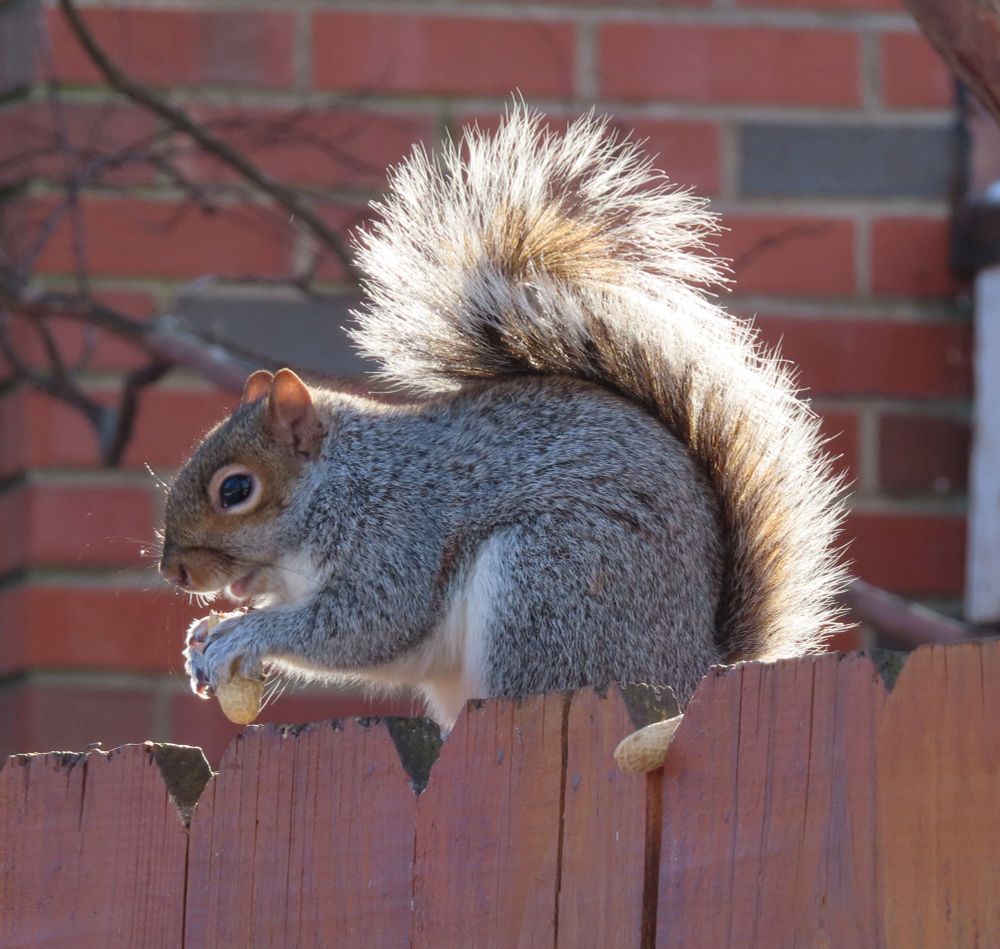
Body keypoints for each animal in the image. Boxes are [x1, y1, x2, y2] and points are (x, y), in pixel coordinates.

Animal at [162, 107, 848, 729]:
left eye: (236, 490)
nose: (175, 572)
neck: (339, 482)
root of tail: (698, 668)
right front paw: (201, 635)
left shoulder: (395, 534)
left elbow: (364, 622)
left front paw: (240, 634)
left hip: (548, 584)